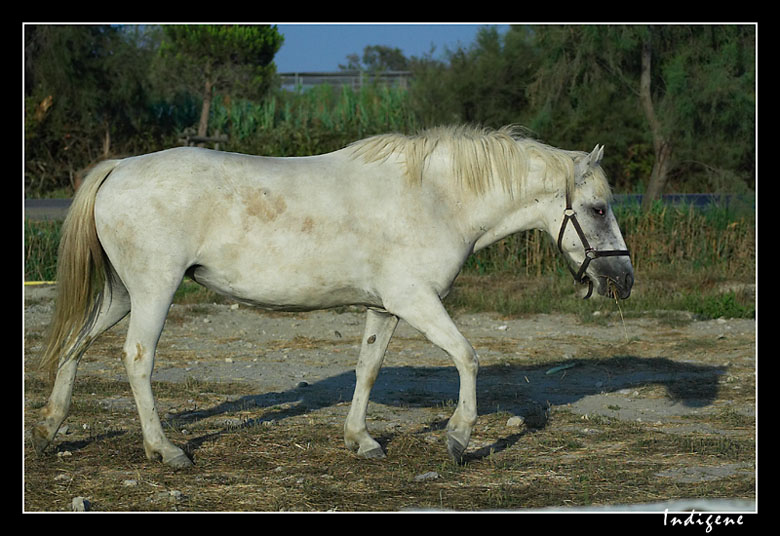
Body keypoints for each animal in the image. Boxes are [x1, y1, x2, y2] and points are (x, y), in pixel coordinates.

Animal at [32, 125, 632, 464]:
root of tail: (119, 168)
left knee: (75, 344)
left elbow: (368, 369)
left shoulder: (385, 308)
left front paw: (360, 441)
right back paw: (166, 450)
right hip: (154, 290)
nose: (622, 281)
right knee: (137, 359)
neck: (434, 198)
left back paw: (49, 429)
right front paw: (459, 438)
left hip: (123, 294)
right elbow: (467, 357)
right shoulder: (415, 301)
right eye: (598, 208)